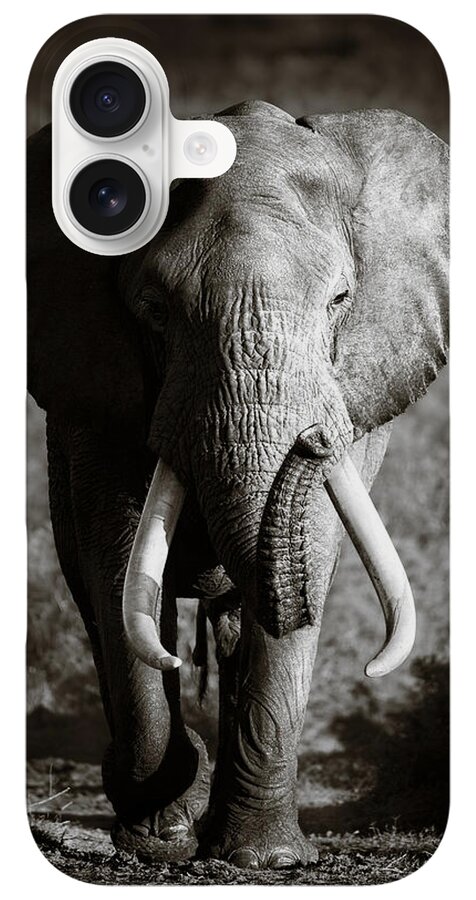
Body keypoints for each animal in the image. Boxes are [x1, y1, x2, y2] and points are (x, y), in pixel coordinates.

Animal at [27, 100, 448, 870]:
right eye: (154, 310)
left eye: (340, 300)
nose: (314, 439)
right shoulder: (95, 395)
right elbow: (120, 563)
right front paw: (164, 835)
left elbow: (312, 545)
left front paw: (264, 860)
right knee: (95, 598)